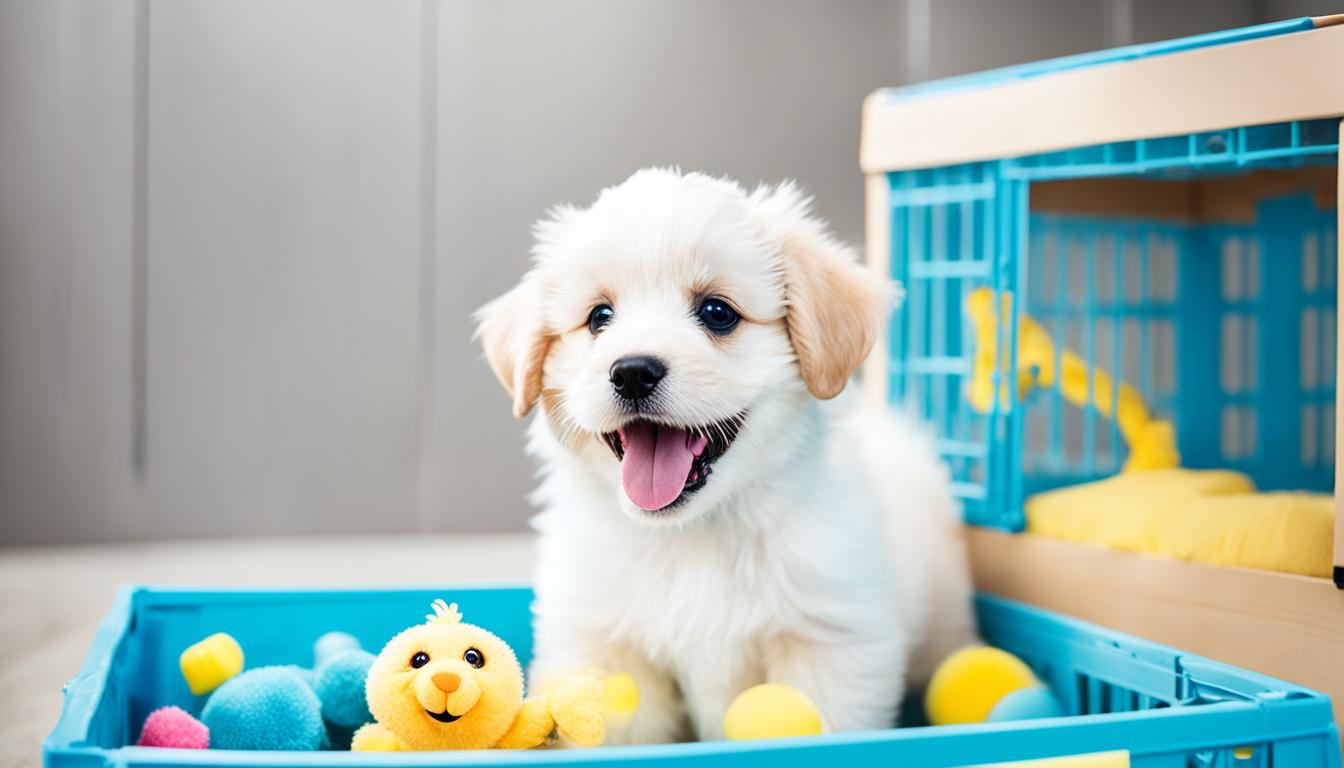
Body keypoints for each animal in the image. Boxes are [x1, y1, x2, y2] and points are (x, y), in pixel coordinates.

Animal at [475, 169, 978, 747]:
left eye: (717, 313)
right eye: (599, 316)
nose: (632, 372)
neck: (696, 535)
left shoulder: (830, 643)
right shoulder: (606, 651)